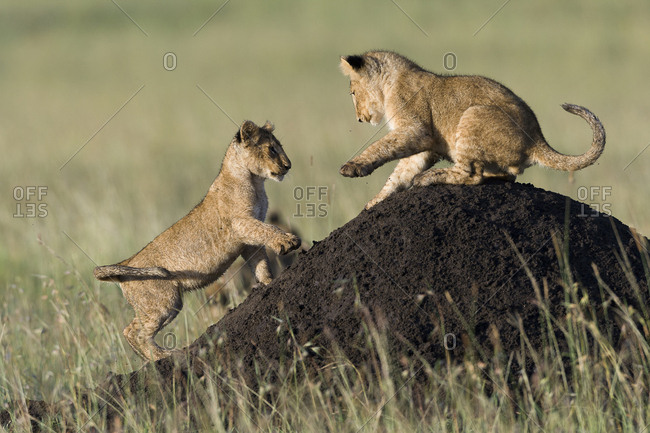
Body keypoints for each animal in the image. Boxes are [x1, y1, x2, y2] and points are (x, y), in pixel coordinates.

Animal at [94, 120, 301, 361]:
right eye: (271, 149)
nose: (288, 166)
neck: (254, 181)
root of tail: (126, 262)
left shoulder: (248, 240)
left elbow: (260, 262)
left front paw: (268, 283)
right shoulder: (241, 224)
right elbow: (269, 229)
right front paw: (288, 241)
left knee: (131, 329)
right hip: (164, 302)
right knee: (134, 332)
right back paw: (163, 356)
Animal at [339, 50, 605, 209]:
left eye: (352, 93)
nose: (359, 118)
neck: (390, 83)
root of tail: (537, 139)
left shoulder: (416, 129)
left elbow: (380, 147)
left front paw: (353, 166)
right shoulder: (425, 147)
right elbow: (399, 174)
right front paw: (375, 202)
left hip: (472, 114)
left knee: (472, 175)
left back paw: (430, 177)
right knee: (507, 175)